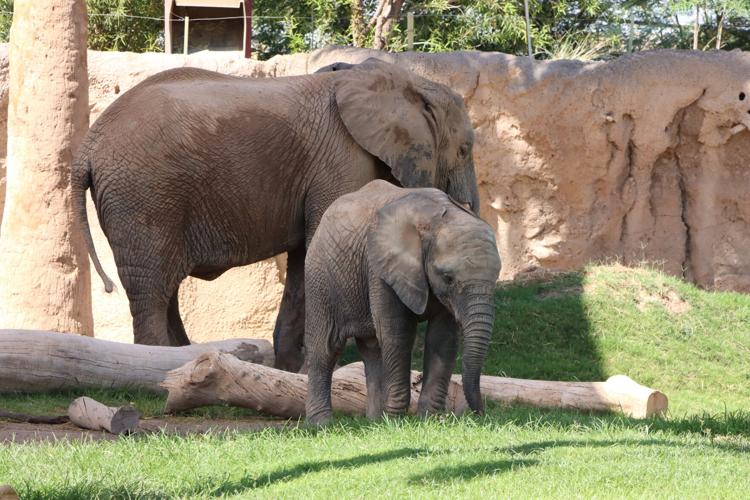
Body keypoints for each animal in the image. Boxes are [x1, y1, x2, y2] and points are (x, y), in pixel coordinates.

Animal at [71, 58, 481, 372]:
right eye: (464, 150)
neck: (408, 81)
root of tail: (87, 145)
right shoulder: (342, 161)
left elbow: (305, 257)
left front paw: (292, 369)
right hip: (144, 197)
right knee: (152, 287)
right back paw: (161, 362)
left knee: (161, 286)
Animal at [304, 180, 501, 425]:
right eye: (448, 278)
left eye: (497, 276)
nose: (480, 414)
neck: (436, 220)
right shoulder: (381, 267)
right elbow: (397, 333)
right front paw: (397, 421)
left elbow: (443, 337)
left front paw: (428, 420)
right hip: (319, 275)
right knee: (325, 347)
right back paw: (321, 424)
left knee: (372, 350)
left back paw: (375, 422)